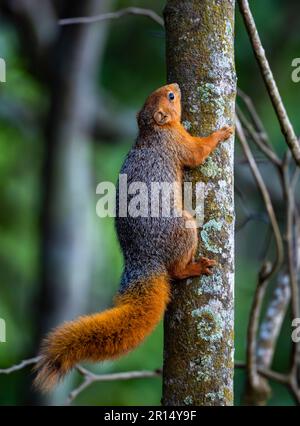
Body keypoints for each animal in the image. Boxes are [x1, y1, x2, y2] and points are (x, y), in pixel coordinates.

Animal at [34, 81, 232, 392]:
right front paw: (221, 134)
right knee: (175, 271)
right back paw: (194, 267)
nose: (175, 85)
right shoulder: (177, 142)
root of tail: (143, 260)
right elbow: (198, 153)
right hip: (183, 228)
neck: (152, 130)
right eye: (170, 97)